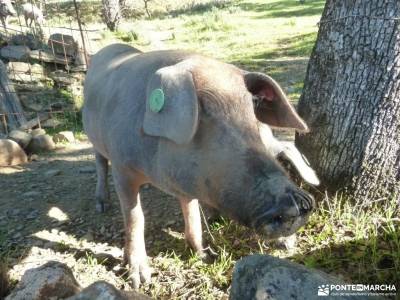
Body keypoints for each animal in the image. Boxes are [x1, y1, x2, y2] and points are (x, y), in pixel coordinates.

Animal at [83, 43, 316, 290]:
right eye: (204, 111)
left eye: (253, 108)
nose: (298, 202)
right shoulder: (122, 168)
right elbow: (135, 217)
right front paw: (140, 281)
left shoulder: (187, 182)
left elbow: (192, 213)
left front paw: (205, 255)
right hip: (93, 138)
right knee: (100, 162)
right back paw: (102, 205)